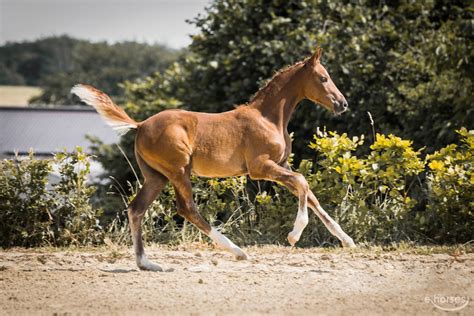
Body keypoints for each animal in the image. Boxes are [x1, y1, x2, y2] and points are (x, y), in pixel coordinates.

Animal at [72, 47, 356, 272]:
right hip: (179, 171)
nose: (343, 104)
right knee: (186, 208)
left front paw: (347, 240)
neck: (267, 118)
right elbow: (302, 182)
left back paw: (147, 263)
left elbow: (310, 194)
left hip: (156, 176)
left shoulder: (281, 164)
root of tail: (140, 125)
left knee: (136, 209)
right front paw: (294, 235)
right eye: (323, 78)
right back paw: (238, 251)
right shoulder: (260, 167)